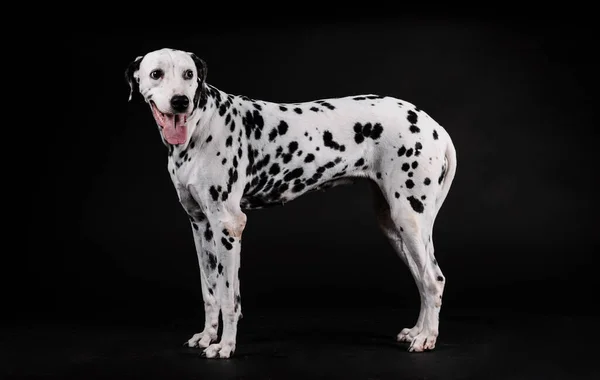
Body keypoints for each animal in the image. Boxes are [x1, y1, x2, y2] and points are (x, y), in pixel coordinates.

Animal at [124, 48, 458, 360]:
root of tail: (435, 126)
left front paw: (225, 346)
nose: (180, 101)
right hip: (394, 226)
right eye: (156, 74)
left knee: (433, 280)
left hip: (409, 220)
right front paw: (207, 337)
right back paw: (417, 330)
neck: (201, 125)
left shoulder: (228, 227)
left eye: (188, 74)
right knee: (422, 278)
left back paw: (427, 338)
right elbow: (211, 292)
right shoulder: (201, 226)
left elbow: (229, 298)